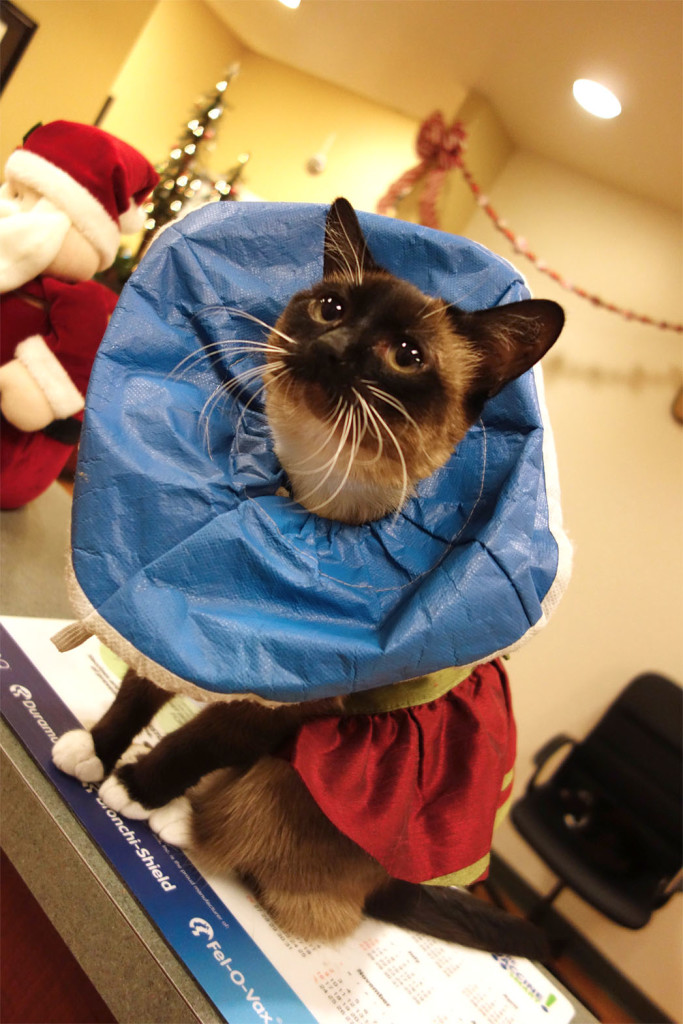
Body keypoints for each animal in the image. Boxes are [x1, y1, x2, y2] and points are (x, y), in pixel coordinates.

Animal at [54, 197, 565, 958]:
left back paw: (181, 820)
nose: (331, 347)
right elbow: (138, 692)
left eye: (406, 355)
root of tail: (397, 886)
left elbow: (195, 739)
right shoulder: (175, 614)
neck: (310, 496)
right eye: (331, 308)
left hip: (299, 774)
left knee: (280, 857)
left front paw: (135, 789)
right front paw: (95, 752)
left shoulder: (273, 704)